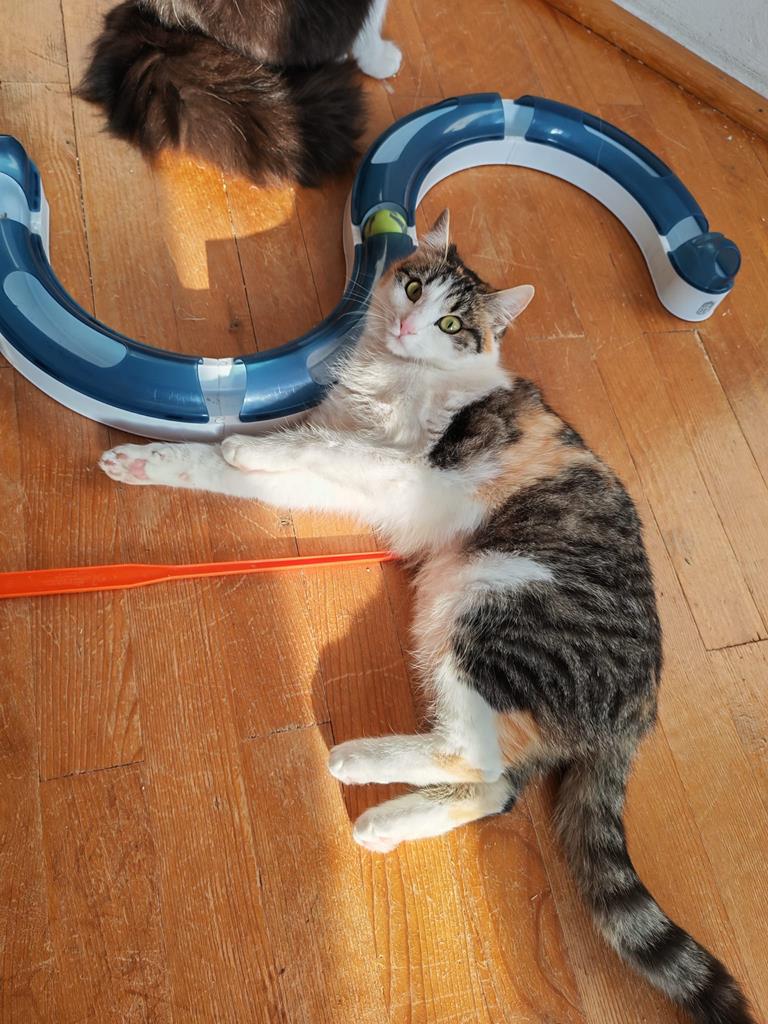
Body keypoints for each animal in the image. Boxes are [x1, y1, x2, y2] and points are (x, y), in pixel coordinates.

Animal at [99, 211, 754, 1024]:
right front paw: (149, 460)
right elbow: (250, 458)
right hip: (458, 619)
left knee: (472, 755)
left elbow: (318, 445)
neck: (395, 376)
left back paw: (355, 763)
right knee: (496, 784)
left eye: (451, 323)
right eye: (412, 287)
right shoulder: (345, 476)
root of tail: (640, 706)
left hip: (490, 600)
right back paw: (382, 824)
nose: (411, 324)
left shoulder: (412, 466)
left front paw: (247, 446)